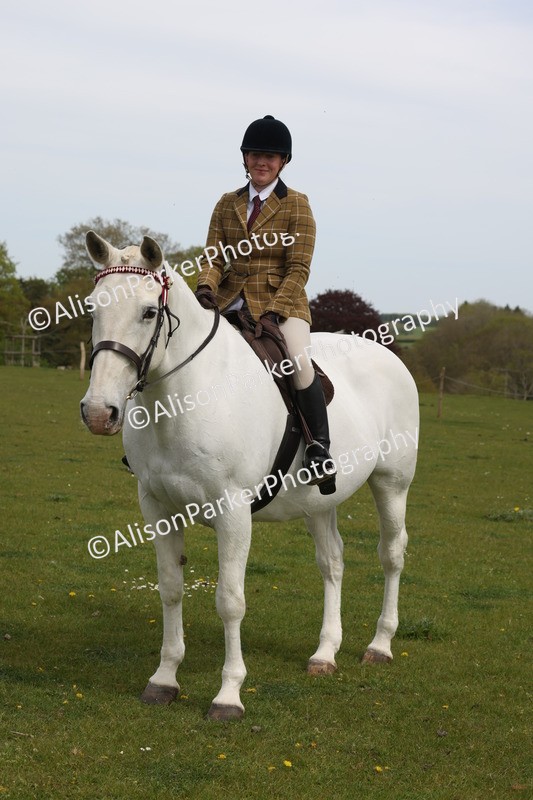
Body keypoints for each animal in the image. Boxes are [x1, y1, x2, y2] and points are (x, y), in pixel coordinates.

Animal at [80, 230, 419, 720]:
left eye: (148, 312)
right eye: (93, 309)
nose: (98, 412)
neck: (184, 395)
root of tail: (387, 354)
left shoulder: (233, 511)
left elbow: (230, 601)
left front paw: (228, 695)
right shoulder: (157, 507)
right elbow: (170, 589)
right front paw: (164, 679)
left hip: (392, 483)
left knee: (392, 554)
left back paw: (380, 645)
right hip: (321, 501)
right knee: (332, 562)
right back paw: (325, 653)